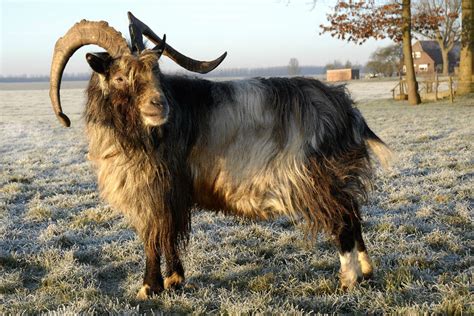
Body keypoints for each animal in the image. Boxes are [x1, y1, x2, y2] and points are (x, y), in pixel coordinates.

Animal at [48, 12, 390, 298]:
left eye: (154, 72)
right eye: (120, 77)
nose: (160, 106)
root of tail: (346, 109)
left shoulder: (154, 190)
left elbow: (153, 237)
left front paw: (148, 288)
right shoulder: (173, 194)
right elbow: (169, 235)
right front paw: (174, 280)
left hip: (321, 180)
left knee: (343, 221)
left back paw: (348, 280)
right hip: (339, 179)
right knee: (354, 216)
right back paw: (367, 271)